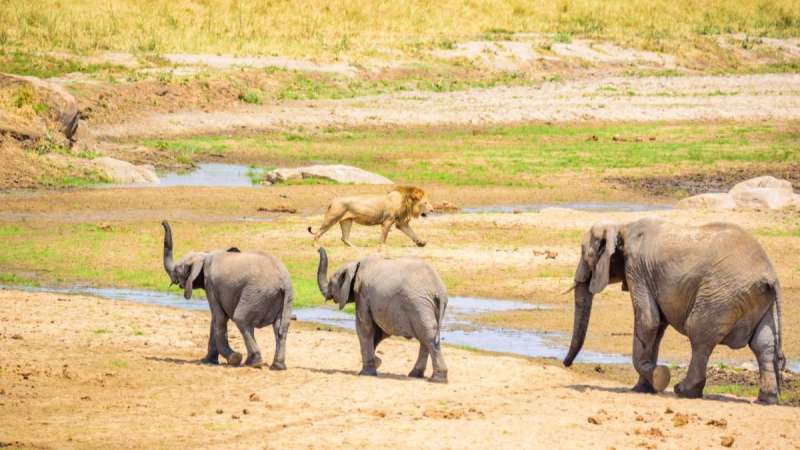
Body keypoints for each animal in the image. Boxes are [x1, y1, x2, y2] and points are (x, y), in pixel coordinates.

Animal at [161, 221, 293, 370]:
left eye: (178, 269)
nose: (163, 222)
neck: (204, 255)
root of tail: (283, 280)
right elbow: (215, 320)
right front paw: (208, 361)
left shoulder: (211, 285)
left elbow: (218, 317)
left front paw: (234, 358)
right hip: (285, 298)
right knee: (281, 326)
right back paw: (277, 367)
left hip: (256, 294)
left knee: (241, 319)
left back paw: (253, 363)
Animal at [315, 247, 448, 382]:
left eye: (331, 283)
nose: (318, 249)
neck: (354, 265)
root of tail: (438, 290)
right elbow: (380, 331)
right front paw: (377, 362)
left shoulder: (362, 295)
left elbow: (365, 328)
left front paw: (366, 372)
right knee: (426, 338)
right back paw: (416, 374)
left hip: (419, 305)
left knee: (428, 337)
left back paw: (437, 379)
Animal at [563, 218, 785, 404]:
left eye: (585, 255)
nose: (566, 364)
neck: (621, 225)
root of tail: (769, 276)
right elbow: (657, 326)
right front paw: (644, 388)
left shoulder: (637, 269)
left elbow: (648, 321)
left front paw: (659, 377)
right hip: (760, 301)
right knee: (764, 344)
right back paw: (766, 399)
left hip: (720, 295)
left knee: (700, 337)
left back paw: (684, 391)